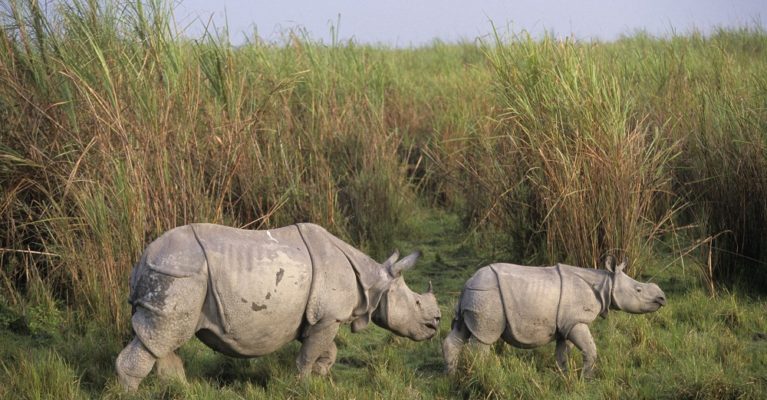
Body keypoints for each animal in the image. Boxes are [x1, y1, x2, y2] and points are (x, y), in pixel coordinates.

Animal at [112, 223, 438, 392]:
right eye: (417, 302)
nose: (435, 322)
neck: (375, 282)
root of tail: (141, 260)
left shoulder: (321, 318)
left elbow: (326, 350)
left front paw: (321, 376)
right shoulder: (328, 316)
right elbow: (309, 354)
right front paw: (303, 384)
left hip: (173, 275)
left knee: (162, 339)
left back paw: (184, 391)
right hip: (177, 274)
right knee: (163, 336)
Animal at [444, 256, 664, 378]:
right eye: (638, 290)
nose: (662, 298)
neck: (605, 284)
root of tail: (467, 283)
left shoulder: (565, 324)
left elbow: (562, 352)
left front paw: (565, 376)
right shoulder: (576, 320)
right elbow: (590, 349)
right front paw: (587, 379)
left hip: (476, 295)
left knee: (461, 332)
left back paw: (451, 376)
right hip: (488, 295)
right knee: (484, 338)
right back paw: (485, 374)